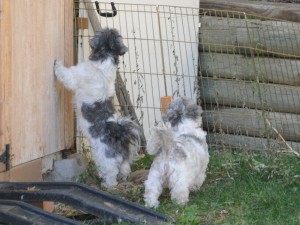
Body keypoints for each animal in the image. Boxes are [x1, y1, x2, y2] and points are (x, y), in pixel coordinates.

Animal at [54, 27, 141, 187]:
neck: (106, 58)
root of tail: (120, 134)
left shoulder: (75, 76)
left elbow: (65, 74)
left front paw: (57, 63)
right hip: (122, 160)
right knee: (125, 168)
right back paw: (122, 178)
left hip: (105, 158)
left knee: (111, 173)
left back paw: (108, 184)